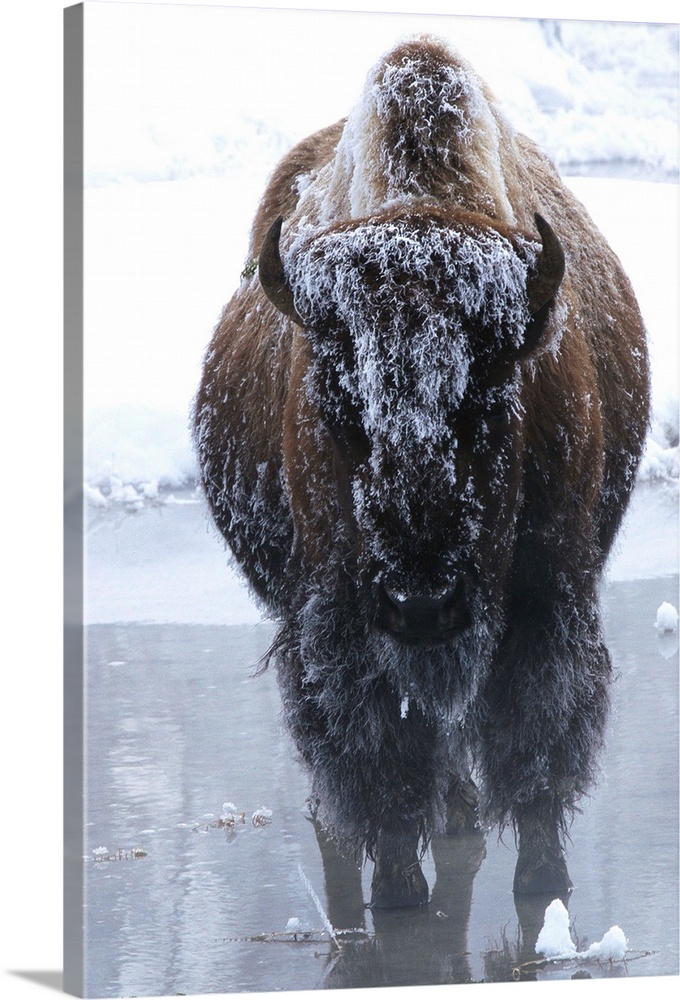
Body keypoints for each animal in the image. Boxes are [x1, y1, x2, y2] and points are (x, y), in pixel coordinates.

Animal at [194, 33, 652, 908]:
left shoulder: (546, 598)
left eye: (491, 392)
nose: (422, 603)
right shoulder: (340, 624)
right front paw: (401, 894)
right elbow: (385, 769)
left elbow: (534, 753)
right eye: (338, 399)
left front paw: (544, 885)